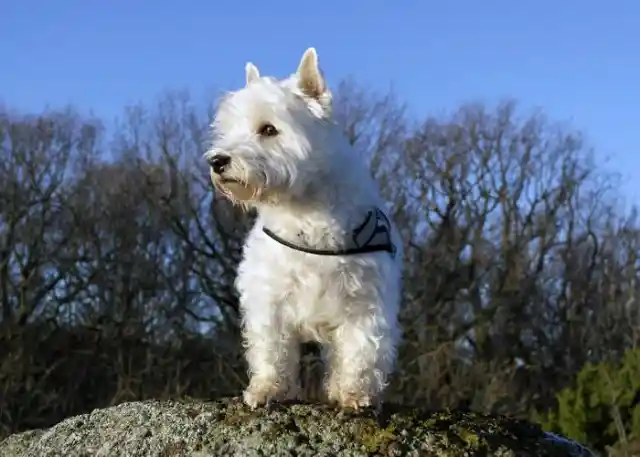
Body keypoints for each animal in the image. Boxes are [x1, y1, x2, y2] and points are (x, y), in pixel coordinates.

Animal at [208, 47, 402, 410]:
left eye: (269, 129)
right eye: (229, 129)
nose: (217, 161)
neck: (305, 212)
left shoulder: (364, 300)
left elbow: (361, 349)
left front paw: (353, 393)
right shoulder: (270, 297)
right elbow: (272, 350)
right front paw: (266, 390)